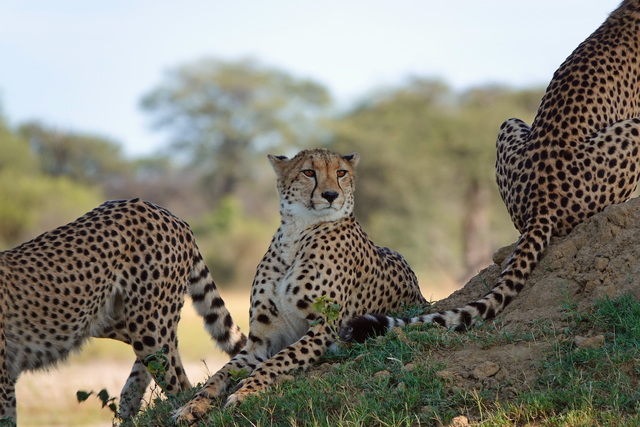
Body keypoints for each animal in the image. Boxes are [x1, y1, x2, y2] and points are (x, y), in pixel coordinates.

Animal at [0, 198, 246, 424]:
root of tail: (163, 211)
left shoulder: (3, 382)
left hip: (146, 325)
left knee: (177, 383)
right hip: (105, 319)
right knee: (171, 355)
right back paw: (130, 398)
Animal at [173, 148, 427, 423]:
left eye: (341, 172)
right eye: (308, 172)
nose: (330, 195)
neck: (297, 232)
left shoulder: (324, 328)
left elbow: (276, 361)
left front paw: (246, 392)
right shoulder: (261, 340)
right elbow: (221, 373)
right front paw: (193, 404)